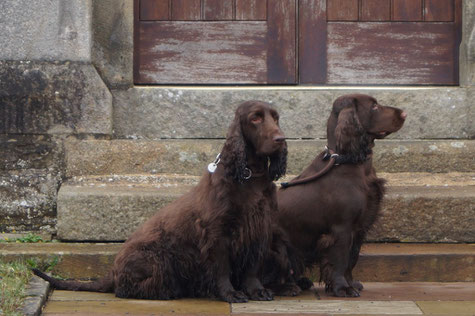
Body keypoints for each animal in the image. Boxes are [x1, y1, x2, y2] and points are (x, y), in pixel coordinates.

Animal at [33, 102, 288, 304]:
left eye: (276, 117)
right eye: (255, 118)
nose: (280, 139)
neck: (250, 175)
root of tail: (111, 271)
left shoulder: (259, 228)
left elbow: (253, 268)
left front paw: (257, 291)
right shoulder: (218, 232)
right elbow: (222, 267)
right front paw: (230, 294)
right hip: (158, 258)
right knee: (125, 288)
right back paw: (168, 291)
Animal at [278, 93, 408, 296]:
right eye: (374, 106)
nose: (404, 114)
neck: (348, 161)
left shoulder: (359, 227)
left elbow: (351, 259)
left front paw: (351, 283)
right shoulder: (341, 228)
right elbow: (340, 260)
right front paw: (343, 288)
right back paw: (288, 287)